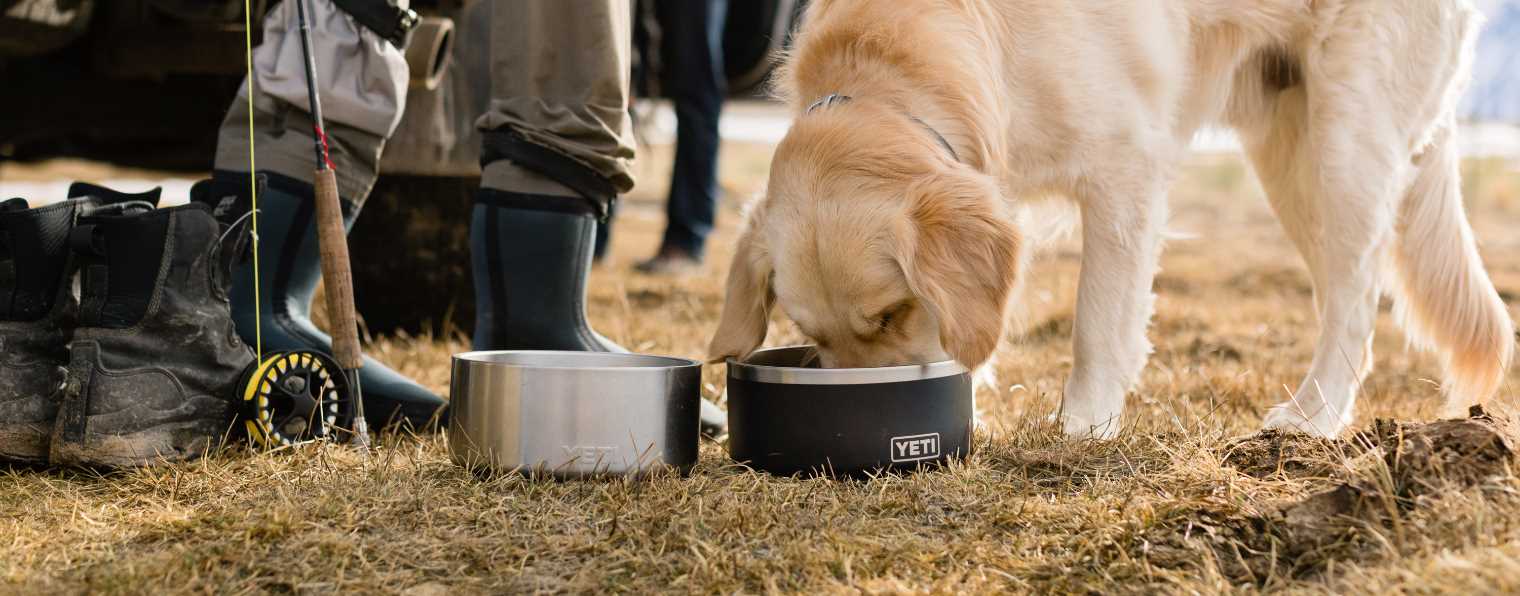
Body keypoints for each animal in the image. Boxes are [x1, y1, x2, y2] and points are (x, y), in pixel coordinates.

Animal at [705, 0, 1513, 437]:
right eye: (813, 339)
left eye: (891, 312)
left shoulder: (1126, 168)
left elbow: (1099, 321)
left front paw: (1083, 427)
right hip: (1287, 149)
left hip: (1344, 137)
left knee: (1357, 293)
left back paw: (1312, 415)